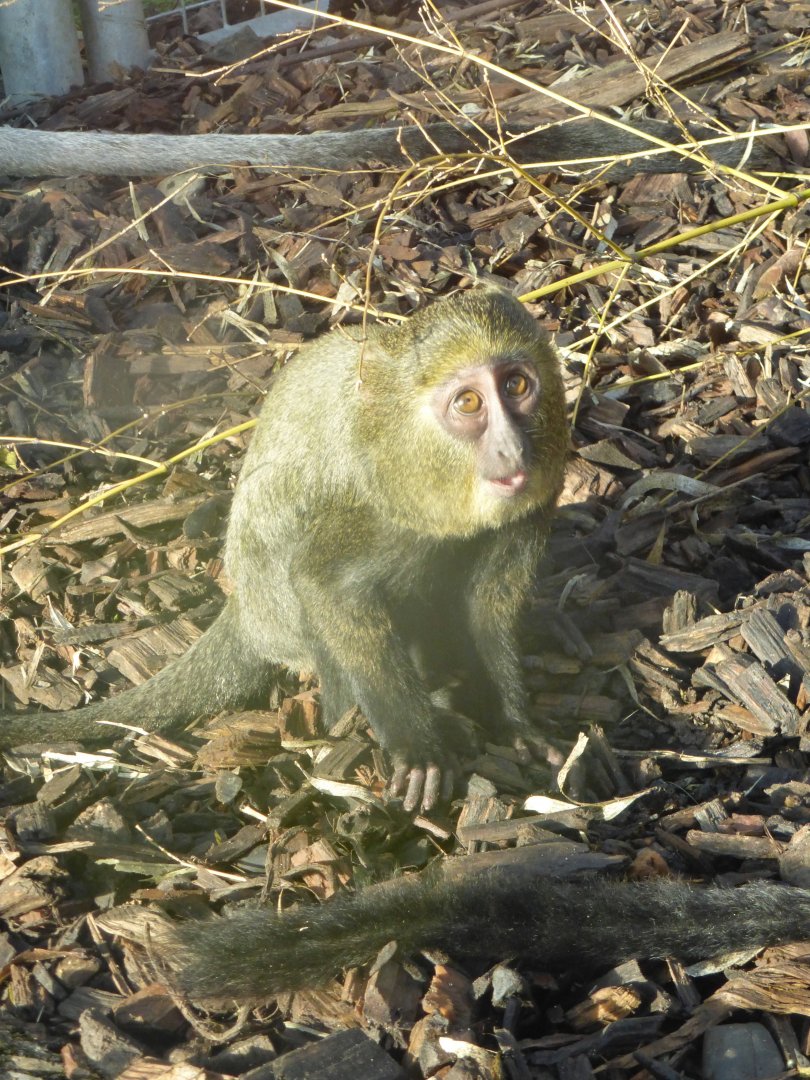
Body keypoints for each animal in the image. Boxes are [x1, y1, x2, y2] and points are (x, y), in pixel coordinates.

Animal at [0, 287, 568, 812]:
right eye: (469, 403)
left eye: (517, 386)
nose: (512, 448)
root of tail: (244, 610)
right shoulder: (379, 509)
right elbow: (326, 585)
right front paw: (419, 747)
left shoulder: (531, 506)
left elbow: (487, 608)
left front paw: (515, 724)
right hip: (280, 607)